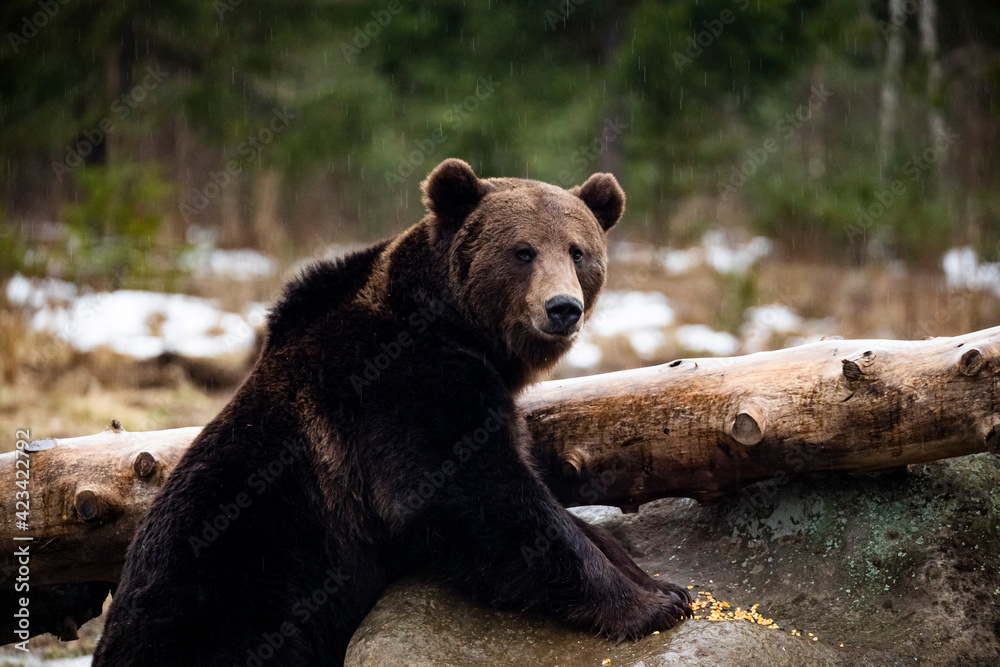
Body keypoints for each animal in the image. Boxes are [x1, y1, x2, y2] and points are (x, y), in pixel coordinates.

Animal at [92, 158, 691, 667]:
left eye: (577, 251)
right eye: (523, 251)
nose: (562, 308)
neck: (455, 323)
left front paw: (661, 583)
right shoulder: (400, 389)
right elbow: (474, 495)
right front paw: (647, 606)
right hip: (232, 598)